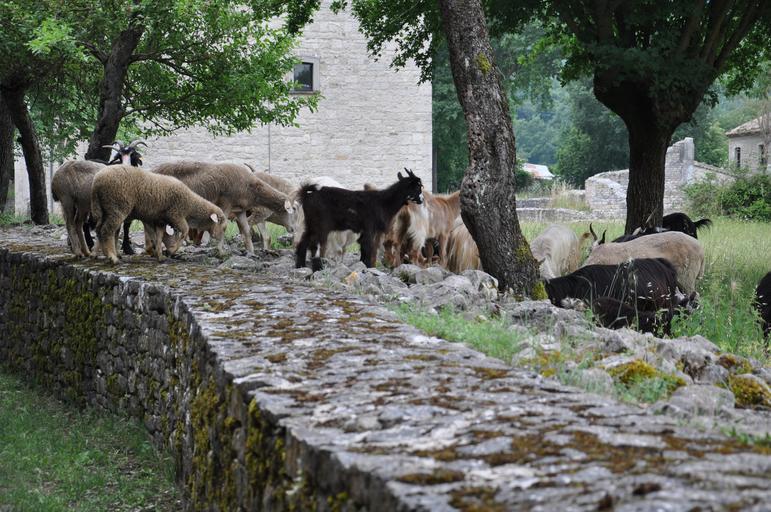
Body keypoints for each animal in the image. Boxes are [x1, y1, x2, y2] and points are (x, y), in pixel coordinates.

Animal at [90, 165, 226, 264]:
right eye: (224, 227)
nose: (220, 250)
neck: (190, 205)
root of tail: (96, 182)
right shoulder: (175, 214)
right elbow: (185, 231)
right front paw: (171, 251)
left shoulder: (160, 220)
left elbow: (158, 237)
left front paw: (160, 256)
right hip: (117, 207)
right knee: (107, 231)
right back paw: (112, 257)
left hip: (105, 209)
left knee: (99, 229)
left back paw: (97, 253)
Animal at [152, 161, 289, 255]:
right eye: (290, 210)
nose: (291, 229)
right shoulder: (225, 204)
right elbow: (223, 227)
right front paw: (221, 251)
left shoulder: (240, 210)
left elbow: (246, 231)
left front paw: (251, 252)